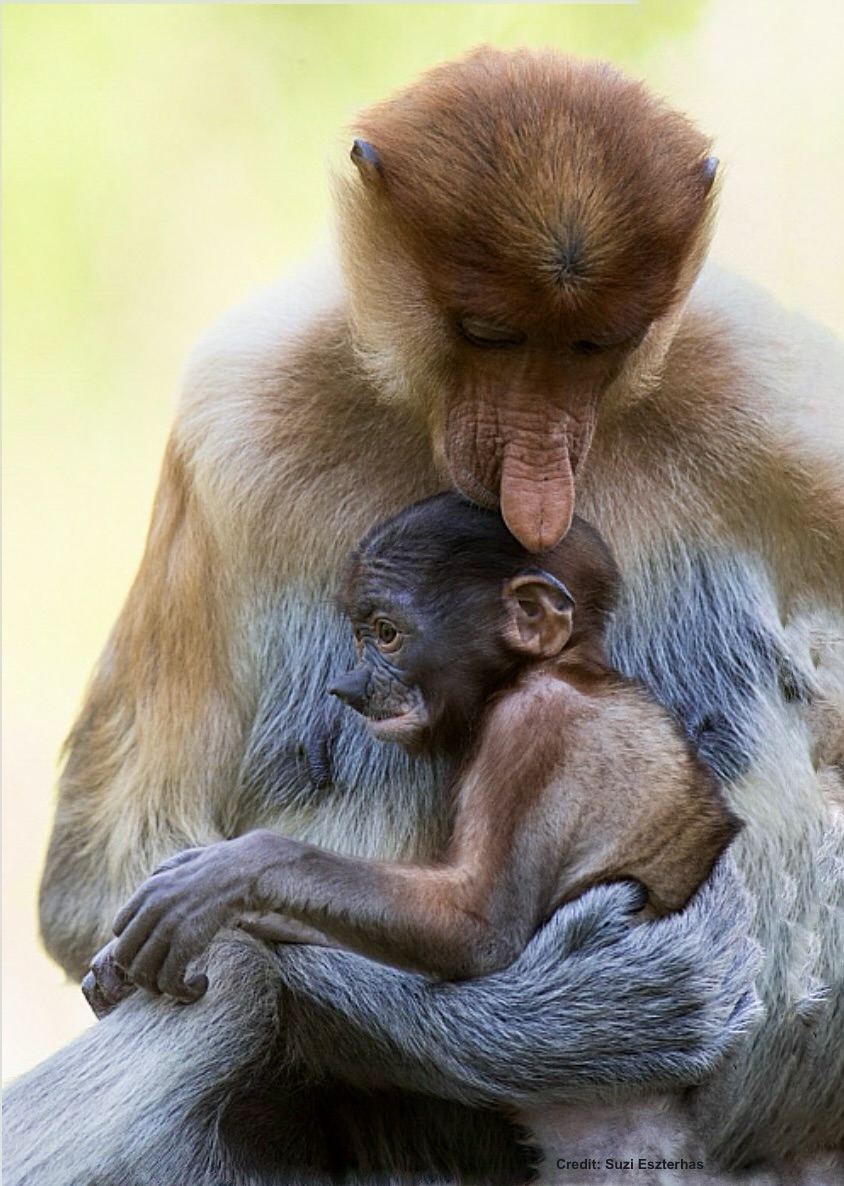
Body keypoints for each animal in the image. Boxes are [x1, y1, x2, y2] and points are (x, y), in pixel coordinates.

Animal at [107, 494, 741, 998]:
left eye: (386, 634)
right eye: (360, 635)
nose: (348, 685)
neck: (559, 666)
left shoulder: (533, 725)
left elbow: (474, 927)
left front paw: (234, 871)